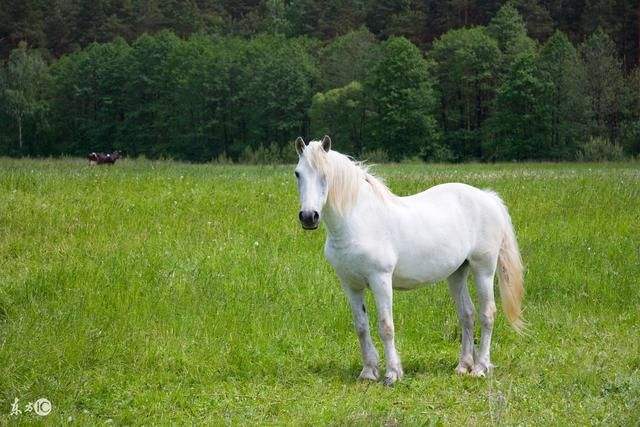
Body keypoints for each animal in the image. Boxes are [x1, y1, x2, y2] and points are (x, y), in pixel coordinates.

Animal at [296, 136, 524, 384]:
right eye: (298, 173)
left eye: (325, 174)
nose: (308, 217)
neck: (359, 220)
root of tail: (488, 197)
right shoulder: (350, 285)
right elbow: (361, 327)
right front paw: (368, 372)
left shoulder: (380, 280)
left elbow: (386, 326)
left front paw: (392, 374)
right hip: (457, 273)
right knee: (467, 315)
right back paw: (463, 366)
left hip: (484, 269)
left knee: (487, 314)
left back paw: (480, 367)